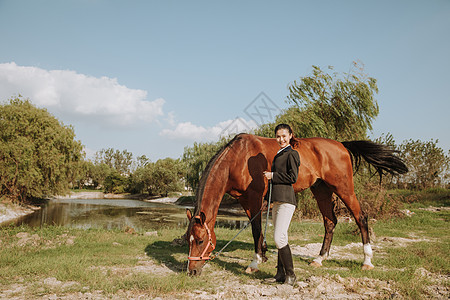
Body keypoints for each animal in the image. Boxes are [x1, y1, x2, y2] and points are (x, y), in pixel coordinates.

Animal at [186, 134, 408, 274]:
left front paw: (255, 263)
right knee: (330, 222)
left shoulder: (255, 198)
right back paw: (319, 259)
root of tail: (341, 145)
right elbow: (257, 230)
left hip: (344, 188)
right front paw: (263, 256)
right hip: (321, 190)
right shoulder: (245, 201)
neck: (238, 157)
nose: (192, 271)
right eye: (189, 240)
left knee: (361, 217)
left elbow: (256, 230)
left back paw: (367, 261)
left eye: (200, 241)